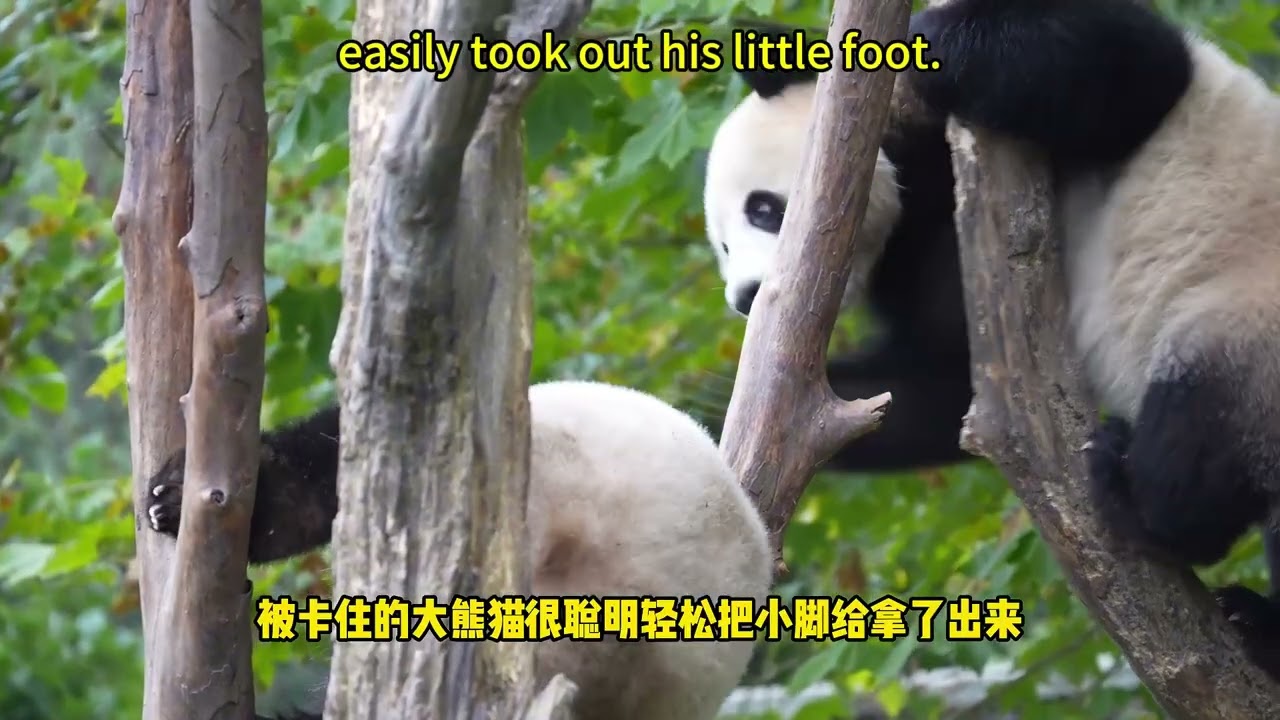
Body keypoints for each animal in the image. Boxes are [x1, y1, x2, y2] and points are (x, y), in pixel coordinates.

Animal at [703, 0, 1280, 679]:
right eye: (722, 246)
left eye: (763, 210)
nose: (746, 296)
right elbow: (935, 390)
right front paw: (710, 412)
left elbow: (1116, 69)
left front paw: (936, 42)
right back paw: (1261, 623)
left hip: (1238, 316)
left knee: (1201, 431)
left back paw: (1139, 501)